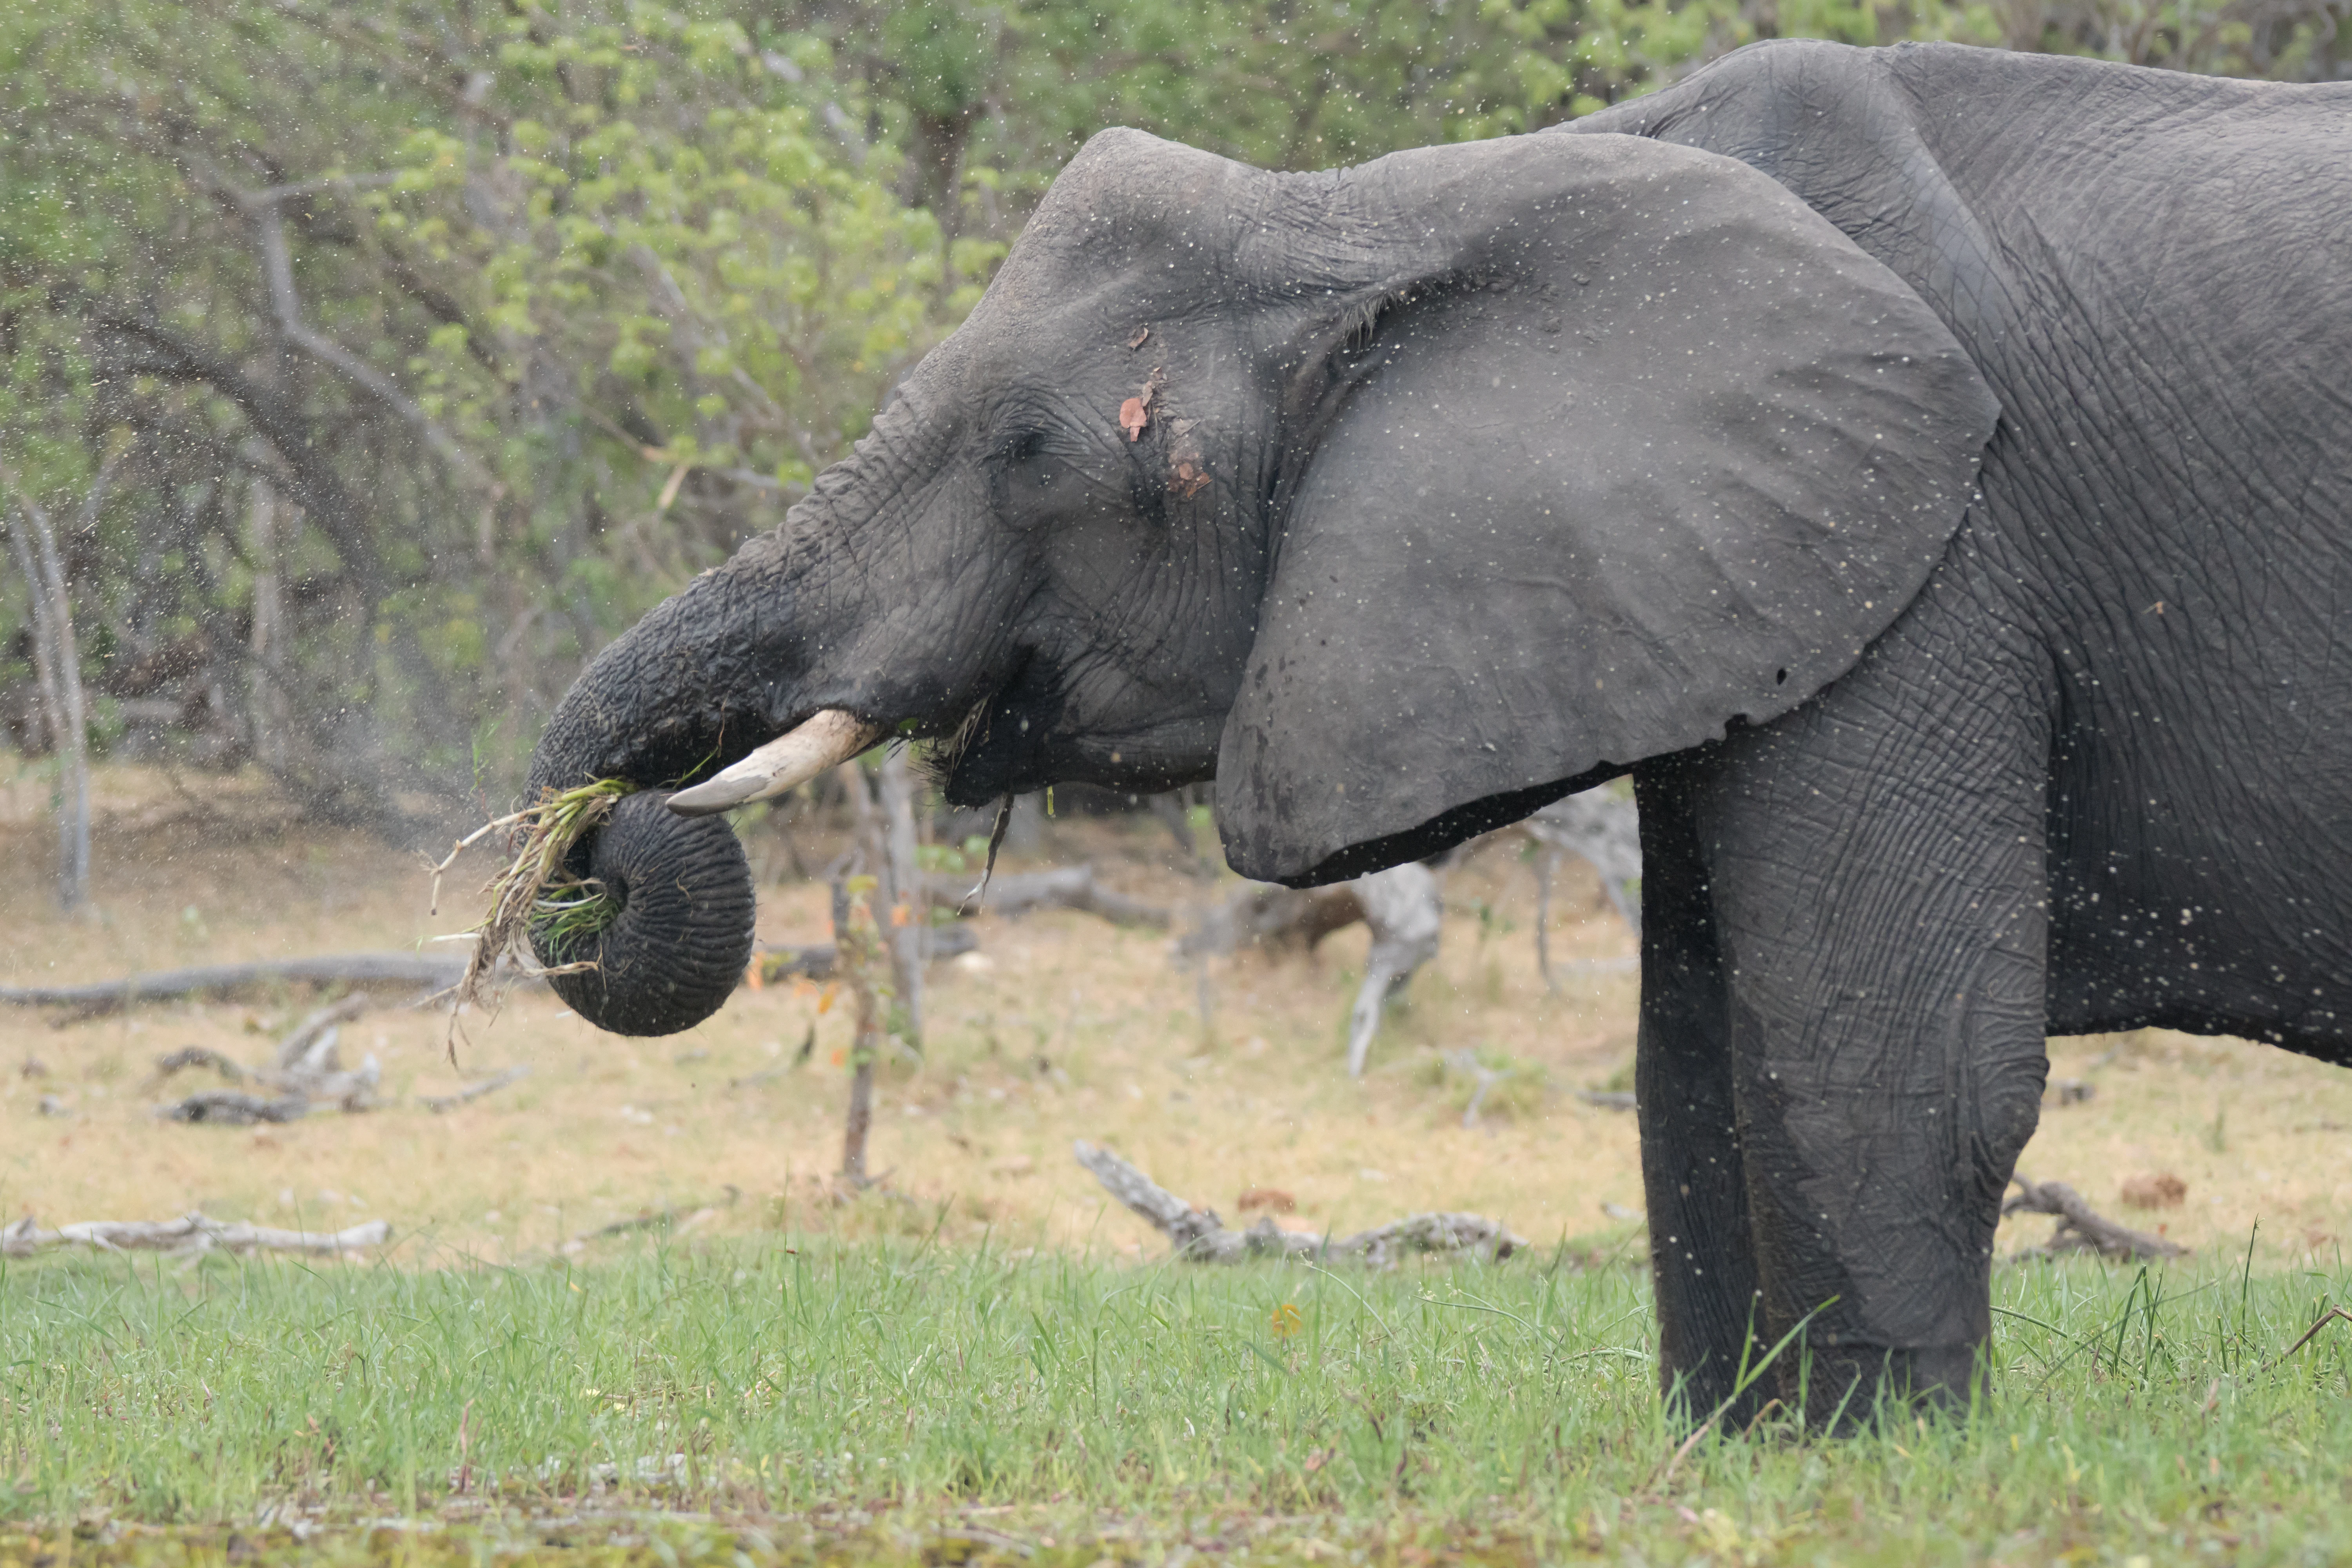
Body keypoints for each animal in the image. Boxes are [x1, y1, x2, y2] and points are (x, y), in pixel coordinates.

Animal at [525, 39, 2352, 1420]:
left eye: (1036, 453)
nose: (599, 847)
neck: (1413, 201)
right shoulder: (1730, 578)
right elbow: (1691, 1053)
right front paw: (1743, 1456)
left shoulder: (1933, 554)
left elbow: (1883, 1053)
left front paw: (1882, 1467)